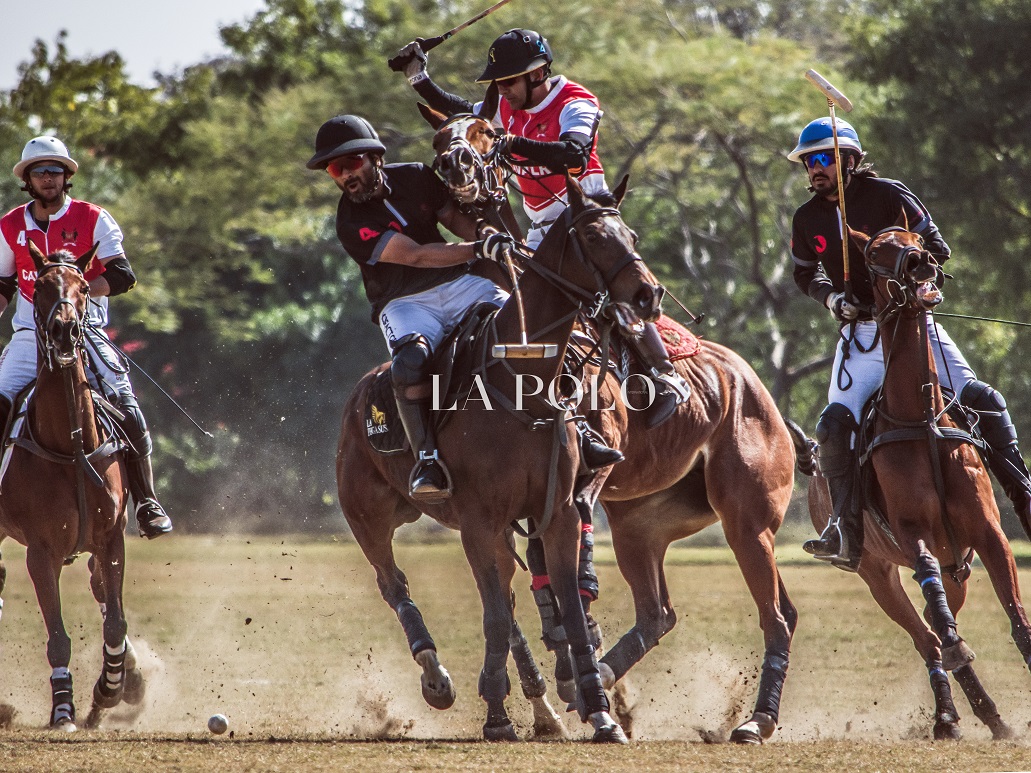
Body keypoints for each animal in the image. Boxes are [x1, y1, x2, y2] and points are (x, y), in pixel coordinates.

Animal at [0, 243, 145, 733]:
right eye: (42, 287)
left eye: (83, 287)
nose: (64, 331)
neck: (70, 443)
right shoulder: (40, 552)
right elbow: (58, 637)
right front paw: (63, 708)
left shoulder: (111, 538)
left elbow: (115, 621)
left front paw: (110, 688)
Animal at [336, 177, 659, 746]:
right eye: (594, 236)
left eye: (632, 234)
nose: (647, 295)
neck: (523, 383)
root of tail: (359, 397)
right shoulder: (480, 518)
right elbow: (490, 617)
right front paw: (494, 714)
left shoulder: (557, 513)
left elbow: (567, 611)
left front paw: (599, 712)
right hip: (368, 516)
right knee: (395, 584)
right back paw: (437, 677)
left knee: (504, 600)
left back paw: (539, 704)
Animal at [422, 107, 800, 746]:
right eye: (445, 135)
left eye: (483, 135)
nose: (648, 294)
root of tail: (758, 392)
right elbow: (541, 577)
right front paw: (571, 668)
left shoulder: (589, 468)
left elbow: (566, 564)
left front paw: (573, 662)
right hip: (642, 525)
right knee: (660, 612)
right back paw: (597, 679)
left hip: (748, 520)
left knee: (774, 614)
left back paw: (756, 719)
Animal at [795, 216, 1031, 737]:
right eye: (872, 254)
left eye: (920, 240)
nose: (922, 264)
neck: (920, 417)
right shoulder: (913, 532)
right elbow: (940, 625)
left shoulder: (988, 532)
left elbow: (1017, 617)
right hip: (875, 572)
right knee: (928, 636)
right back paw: (949, 716)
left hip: (958, 566)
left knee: (937, 618)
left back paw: (987, 716)